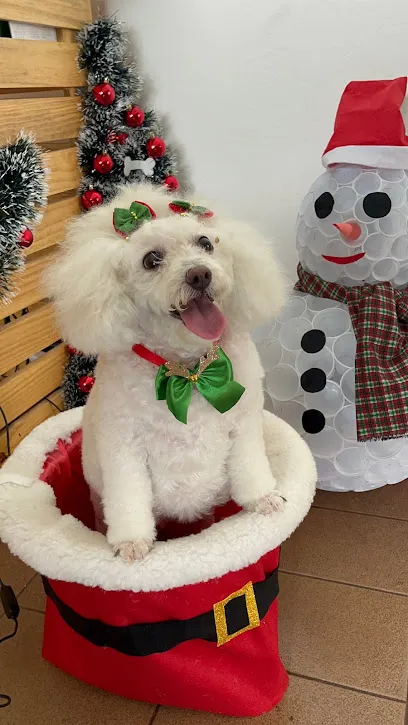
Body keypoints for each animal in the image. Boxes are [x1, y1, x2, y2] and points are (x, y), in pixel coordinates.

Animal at [47, 181, 286, 560]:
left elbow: (250, 466)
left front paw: (263, 499)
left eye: (205, 243)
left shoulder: (245, 423)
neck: (188, 372)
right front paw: (131, 544)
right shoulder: (123, 447)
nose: (200, 274)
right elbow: (129, 499)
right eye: (151, 260)